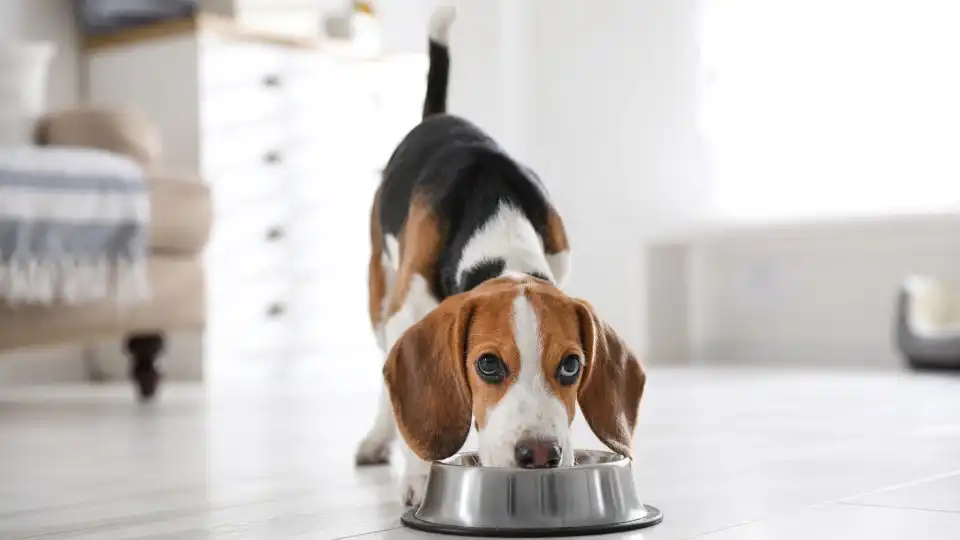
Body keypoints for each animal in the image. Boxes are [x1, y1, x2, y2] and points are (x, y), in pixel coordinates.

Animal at [352, 7, 644, 506]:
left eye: (572, 365)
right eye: (488, 364)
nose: (540, 455)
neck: (497, 221)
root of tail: (440, 116)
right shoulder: (407, 311)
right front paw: (419, 477)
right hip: (380, 296)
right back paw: (377, 438)